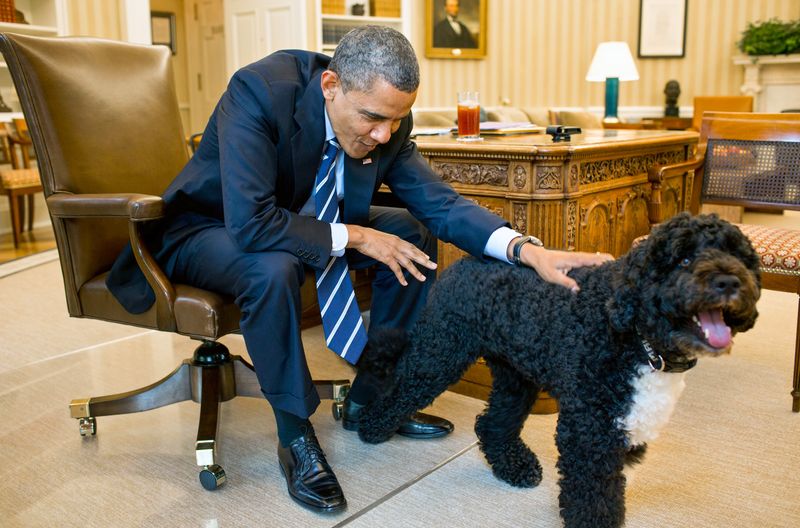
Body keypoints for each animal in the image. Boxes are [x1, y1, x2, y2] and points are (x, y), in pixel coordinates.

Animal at [358, 212, 764, 524]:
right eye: (682, 260)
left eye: (740, 257)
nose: (728, 280)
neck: (636, 335)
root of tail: (461, 263)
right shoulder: (587, 430)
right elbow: (592, 497)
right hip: (441, 351)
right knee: (400, 388)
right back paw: (370, 427)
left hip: (515, 375)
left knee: (493, 423)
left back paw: (514, 466)